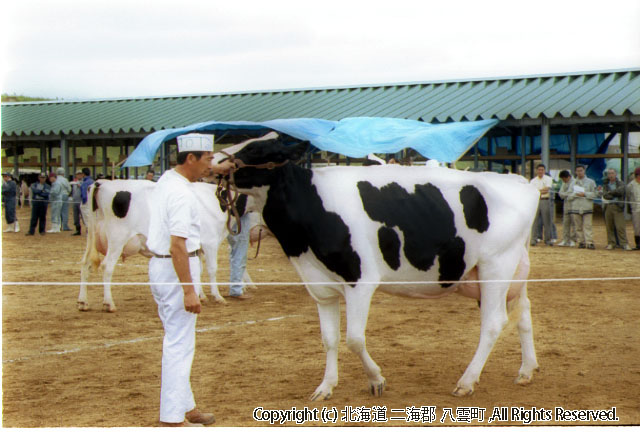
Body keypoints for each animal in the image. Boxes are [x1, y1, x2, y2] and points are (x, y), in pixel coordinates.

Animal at [76, 180, 254, 312]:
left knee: (85, 264)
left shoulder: (196, 247)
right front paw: (217, 297)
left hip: (91, 237)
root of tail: (101, 183)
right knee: (107, 267)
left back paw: (83, 302)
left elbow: (197, 270)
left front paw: (200, 296)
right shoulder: (210, 241)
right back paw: (109, 304)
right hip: (117, 239)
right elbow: (211, 269)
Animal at [215, 136, 540, 400]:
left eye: (255, 149)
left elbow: (354, 339)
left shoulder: (360, 281)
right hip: (514, 270)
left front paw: (376, 380)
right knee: (524, 312)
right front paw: (325, 387)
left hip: (496, 265)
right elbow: (329, 340)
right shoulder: (321, 287)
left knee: (494, 322)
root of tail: (519, 181)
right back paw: (526, 370)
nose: (216, 161)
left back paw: (467, 381)